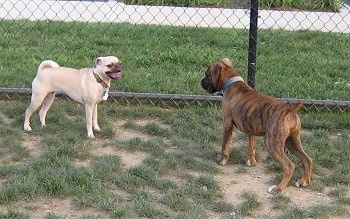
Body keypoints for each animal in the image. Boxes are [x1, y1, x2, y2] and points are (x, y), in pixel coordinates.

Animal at [201, 57, 314, 192]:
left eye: (207, 74)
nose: (201, 82)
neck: (232, 82)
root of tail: (290, 110)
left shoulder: (227, 124)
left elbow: (225, 146)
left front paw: (222, 161)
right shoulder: (251, 129)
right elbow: (252, 146)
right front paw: (251, 163)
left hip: (272, 143)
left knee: (289, 165)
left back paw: (279, 188)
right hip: (292, 142)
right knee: (307, 159)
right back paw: (303, 181)